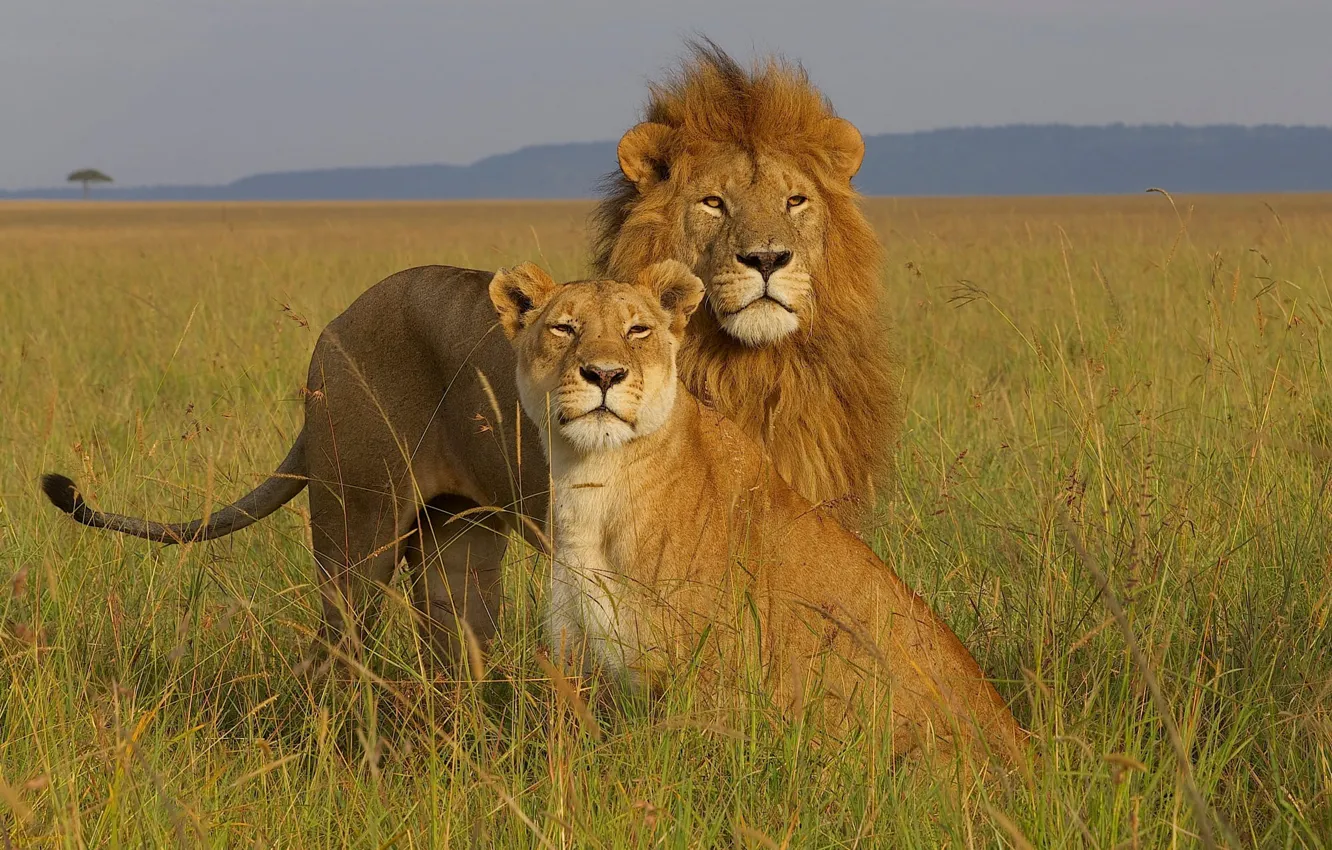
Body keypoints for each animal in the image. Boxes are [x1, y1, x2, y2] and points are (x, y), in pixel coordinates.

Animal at [40, 43, 901, 665]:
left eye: (796, 201)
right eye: (713, 203)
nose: (767, 259)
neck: (759, 366)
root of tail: (336, 323)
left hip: (458, 541)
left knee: (452, 661)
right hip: (357, 525)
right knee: (334, 657)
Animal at [489, 259, 1023, 766]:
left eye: (637, 330)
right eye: (564, 328)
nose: (604, 375)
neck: (594, 481)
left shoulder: (707, 675)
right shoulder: (578, 659)